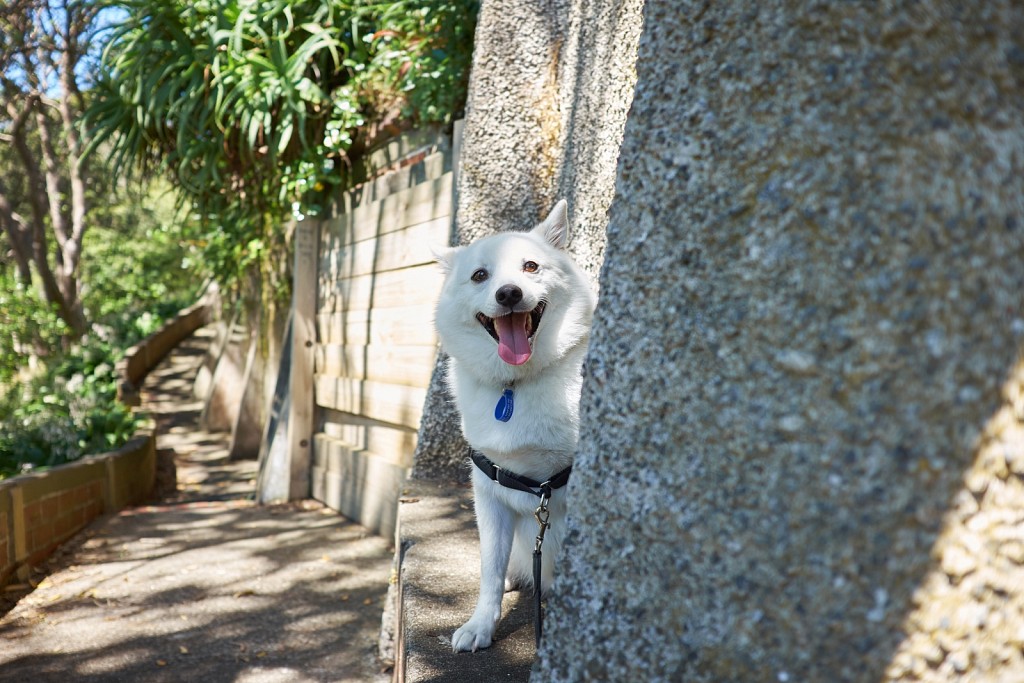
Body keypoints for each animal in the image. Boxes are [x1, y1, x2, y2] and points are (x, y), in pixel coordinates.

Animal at [430, 200, 593, 655]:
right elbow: (489, 568)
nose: (508, 294)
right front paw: (481, 625)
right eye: (479, 276)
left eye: (531, 266)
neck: (515, 385)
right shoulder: (489, 492)